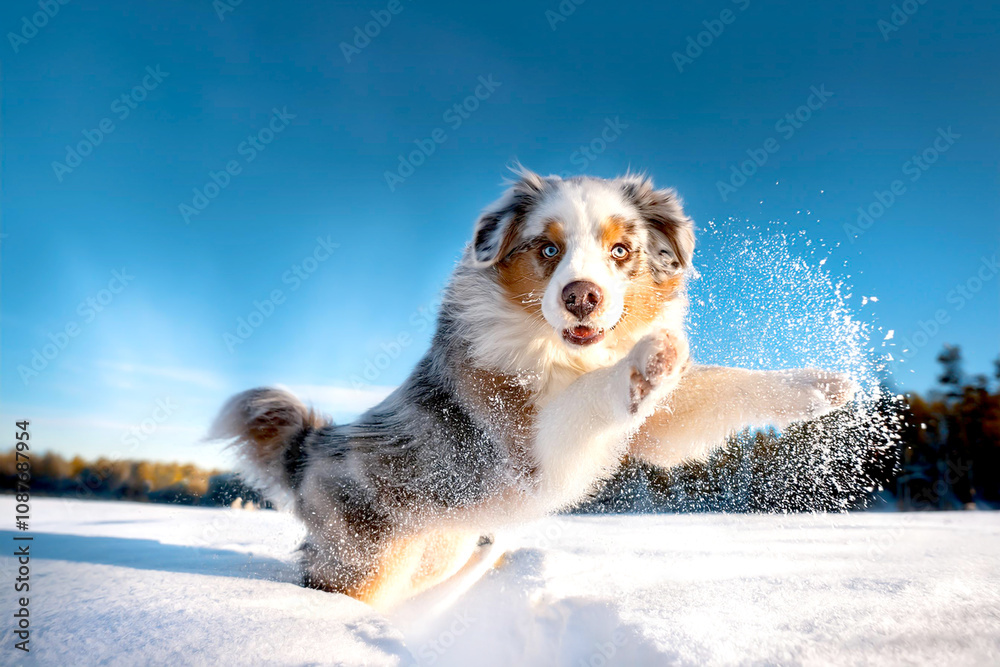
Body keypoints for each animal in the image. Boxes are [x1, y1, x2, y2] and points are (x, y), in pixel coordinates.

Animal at [209, 168, 852, 612]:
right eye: (548, 249)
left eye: (621, 250)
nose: (582, 297)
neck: (563, 350)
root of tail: (310, 448)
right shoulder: (535, 448)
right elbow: (592, 393)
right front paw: (647, 361)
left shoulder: (655, 429)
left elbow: (722, 385)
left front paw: (818, 385)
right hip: (364, 561)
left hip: (435, 548)